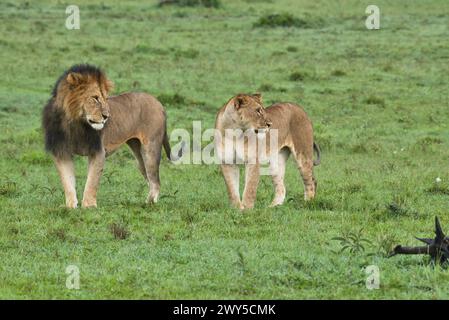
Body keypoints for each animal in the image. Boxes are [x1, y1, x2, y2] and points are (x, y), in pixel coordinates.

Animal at [42, 64, 178, 209]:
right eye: (95, 98)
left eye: (105, 98)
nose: (107, 116)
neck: (75, 123)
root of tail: (158, 102)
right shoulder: (61, 152)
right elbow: (67, 182)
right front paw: (70, 206)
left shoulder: (98, 151)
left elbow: (92, 181)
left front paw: (89, 206)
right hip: (139, 157)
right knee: (150, 179)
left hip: (150, 149)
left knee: (155, 180)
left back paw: (150, 204)